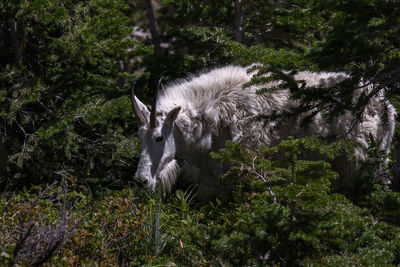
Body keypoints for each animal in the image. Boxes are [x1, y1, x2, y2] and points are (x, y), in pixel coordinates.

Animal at [133, 65, 396, 201]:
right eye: (139, 136)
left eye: (159, 137)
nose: (141, 180)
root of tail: (387, 107)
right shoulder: (210, 180)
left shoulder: (250, 169)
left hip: (364, 163)